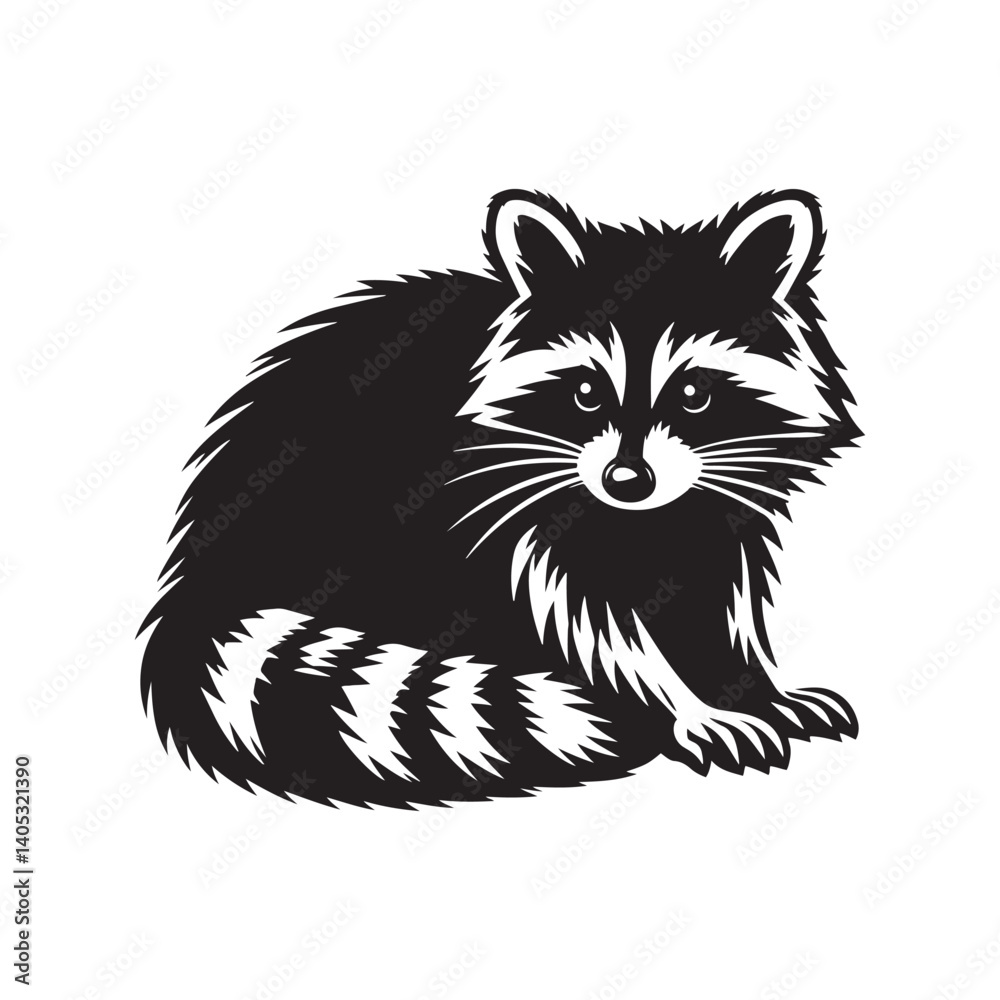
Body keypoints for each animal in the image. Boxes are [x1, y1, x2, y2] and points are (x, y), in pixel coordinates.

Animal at [140, 188, 860, 809]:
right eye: (586, 393)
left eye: (693, 393)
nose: (627, 482)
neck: (643, 521)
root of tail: (199, 573)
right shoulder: (515, 499)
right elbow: (590, 620)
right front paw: (676, 703)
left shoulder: (720, 499)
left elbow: (721, 595)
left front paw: (748, 686)